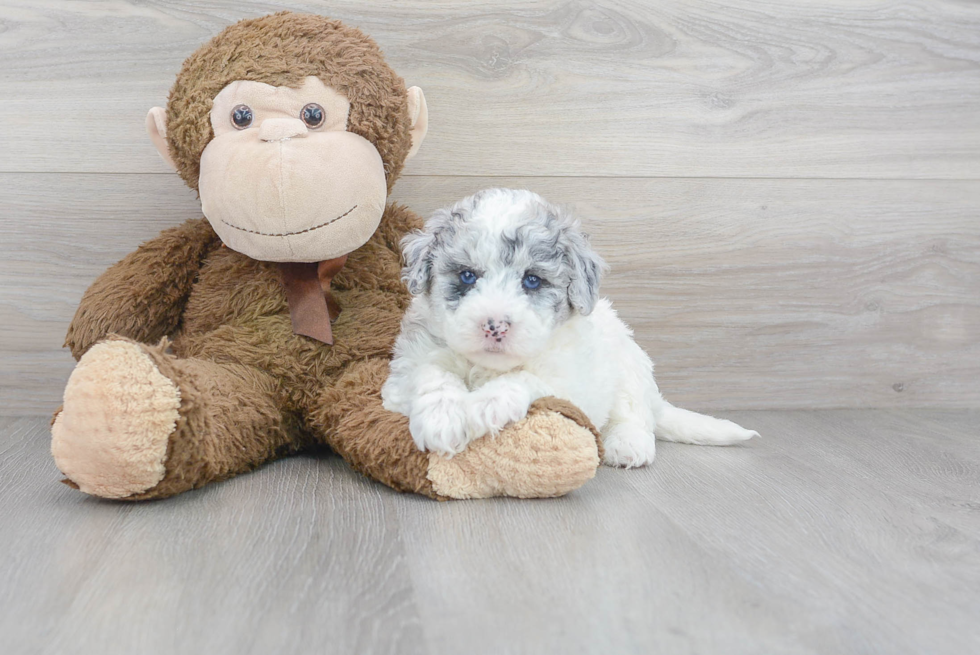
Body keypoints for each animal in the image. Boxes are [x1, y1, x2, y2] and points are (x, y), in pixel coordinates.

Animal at [382, 188, 756, 466]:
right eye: (467, 276)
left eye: (532, 280)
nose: (495, 326)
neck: (487, 367)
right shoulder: (413, 360)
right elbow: (434, 375)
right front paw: (442, 420)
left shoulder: (569, 383)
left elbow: (521, 381)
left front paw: (482, 406)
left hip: (630, 365)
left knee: (634, 414)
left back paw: (627, 444)